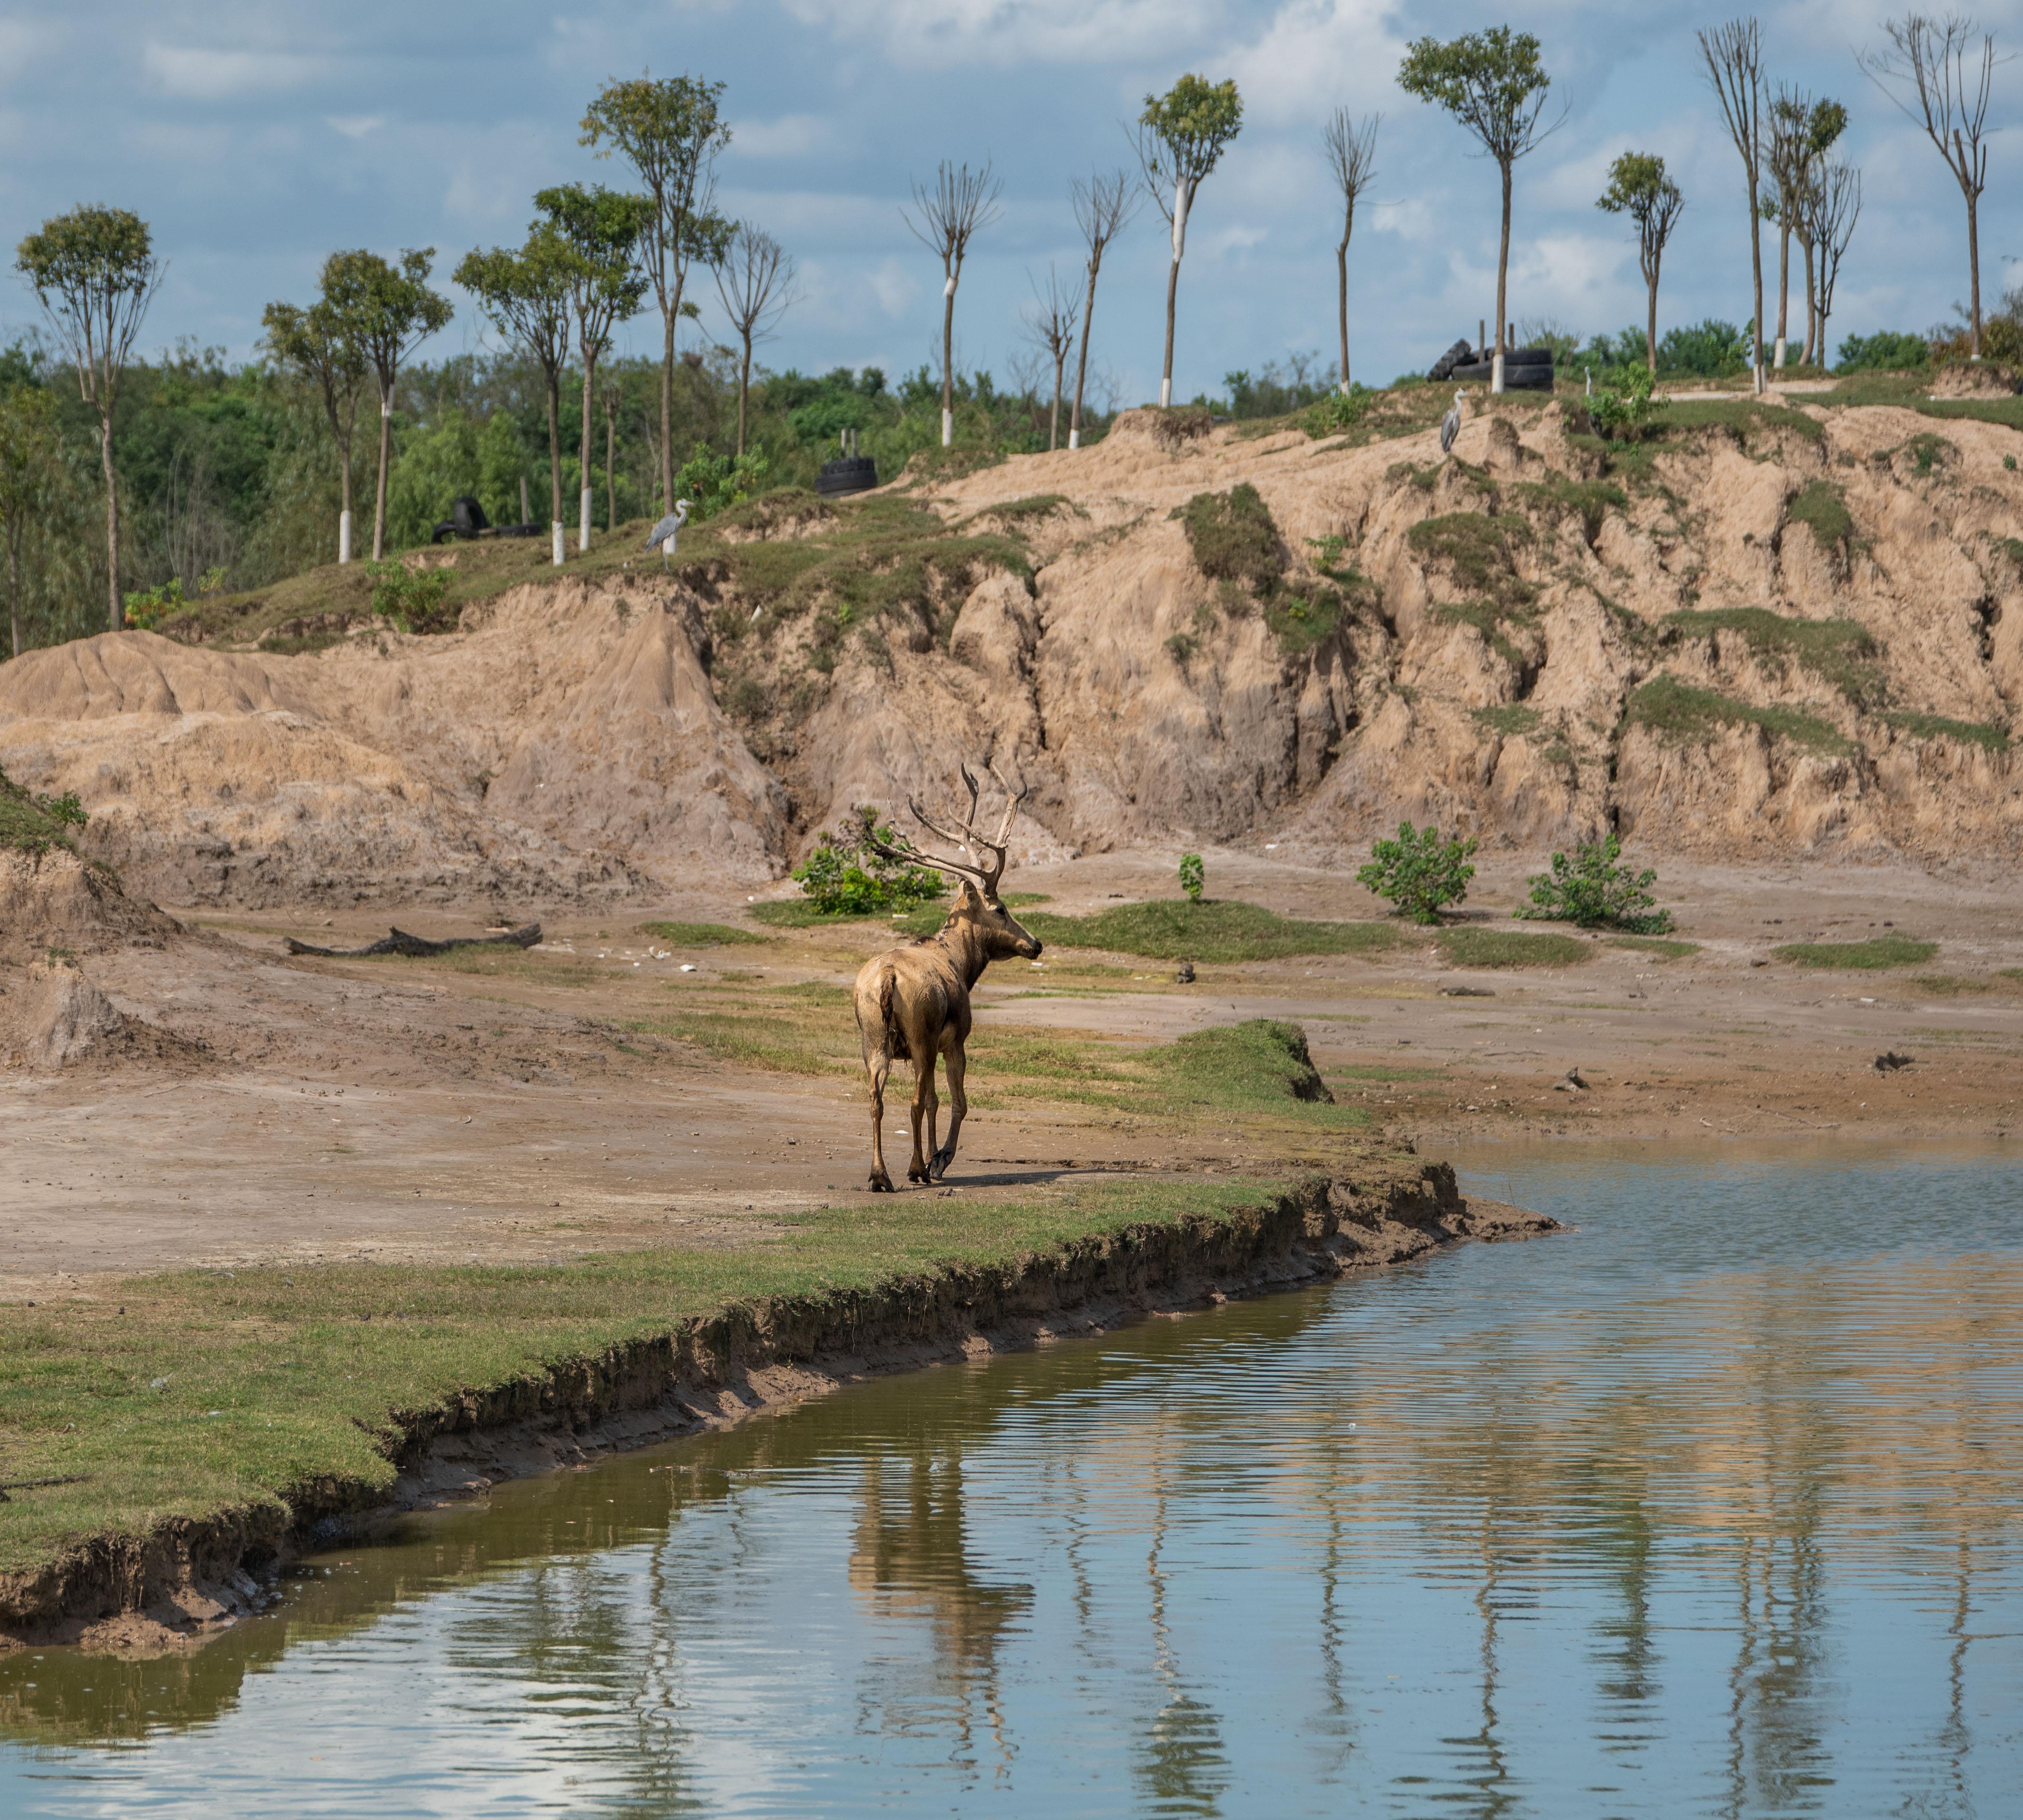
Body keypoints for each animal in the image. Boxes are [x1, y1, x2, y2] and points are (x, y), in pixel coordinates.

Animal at [853, 768, 1043, 1197]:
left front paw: (933, 1156)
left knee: (876, 1098)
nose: (1035, 944)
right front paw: (940, 1159)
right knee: (913, 1100)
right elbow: (956, 1102)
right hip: (920, 1033)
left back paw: (879, 1175)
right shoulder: (954, 1040)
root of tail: (887, 978)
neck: (962, 965)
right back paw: (914, 1170)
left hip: (872, 1037)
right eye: (1000, 909)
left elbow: (936, 1100)